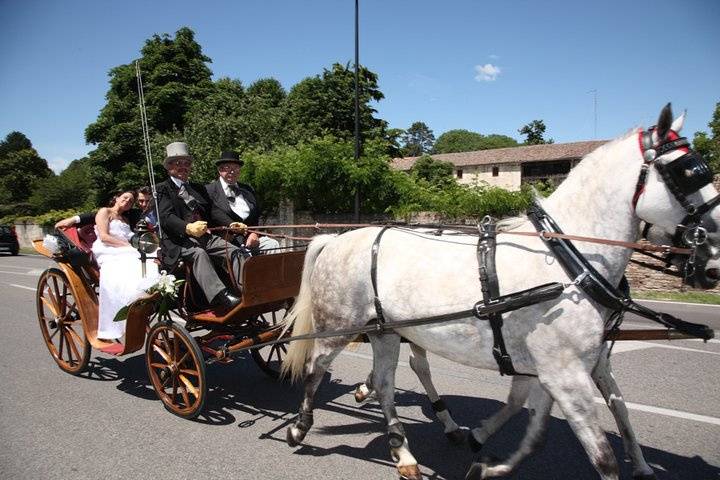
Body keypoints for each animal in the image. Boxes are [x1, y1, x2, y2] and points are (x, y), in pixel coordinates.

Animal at [278, 106, 716, 480]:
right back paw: (300, 428)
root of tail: (337, 238)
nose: (712, 258)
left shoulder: (562, 368)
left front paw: (487, 456)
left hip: (385, 331)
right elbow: (602, 454)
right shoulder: (565, 373)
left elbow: (565, 423)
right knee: (318, 367)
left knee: (387, 382)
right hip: (338, 327)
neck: (566, 260)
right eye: (688, 171)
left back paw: (403, 451)